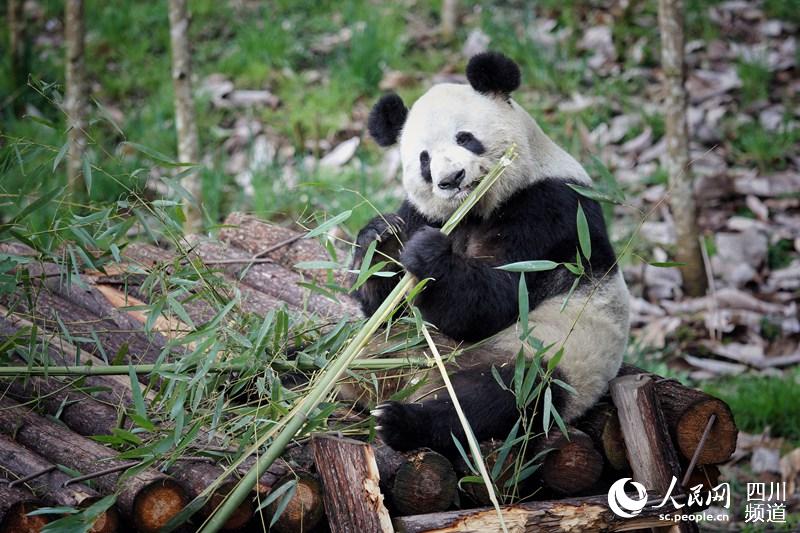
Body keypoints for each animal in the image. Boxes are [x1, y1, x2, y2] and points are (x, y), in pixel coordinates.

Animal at [354, 53, 628, 454]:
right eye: (424, 160)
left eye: (465, 138)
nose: (451, 179)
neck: (475, 208)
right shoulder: (423, 213)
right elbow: (389, 310)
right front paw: (381, 237)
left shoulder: (550, 209)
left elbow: (497, 299)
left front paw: (429, 254)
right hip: (396, 351)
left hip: (552, 356)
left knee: (496, 397)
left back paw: (400, 420)